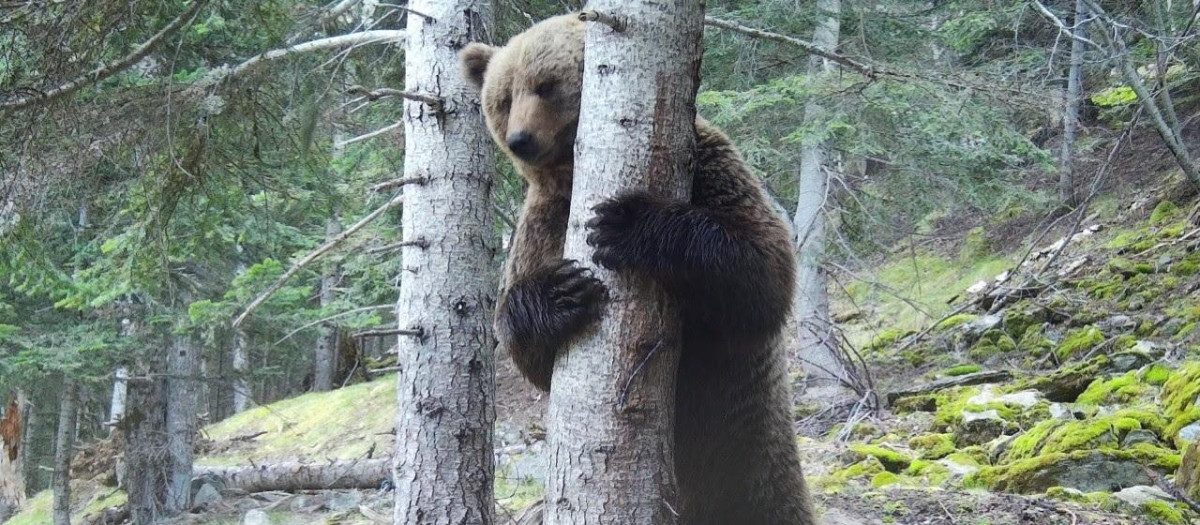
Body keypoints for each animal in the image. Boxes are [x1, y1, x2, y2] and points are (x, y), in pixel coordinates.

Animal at [460, 14, 815, 525]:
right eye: (504, 98)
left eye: (545, 85)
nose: (521, 140)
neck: (574, 174)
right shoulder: (546, 221)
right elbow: (528, 348)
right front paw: (564, 291)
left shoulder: (710, 168)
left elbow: (762, 271)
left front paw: (624, 223)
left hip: (750, 456)